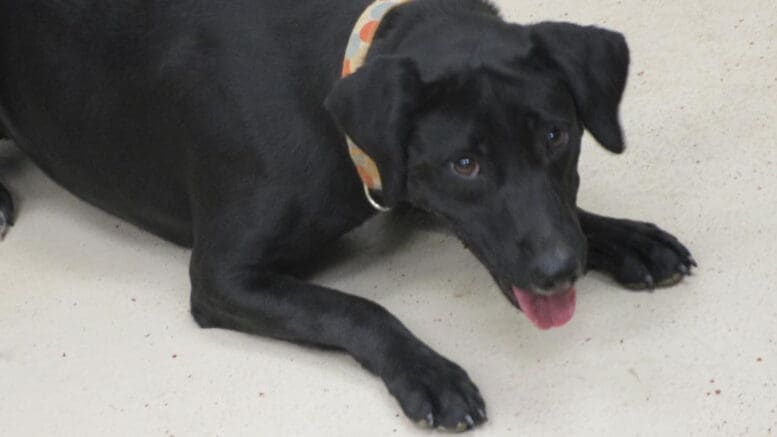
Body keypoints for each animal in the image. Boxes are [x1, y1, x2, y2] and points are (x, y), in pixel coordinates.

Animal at [0, 0, 692, 430]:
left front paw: (628, 238)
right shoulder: (223, 276)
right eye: (465, 164)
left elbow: (573, 213)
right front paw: (428, 372)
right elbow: (356, 308)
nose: (559, 271)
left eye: (555, 135)